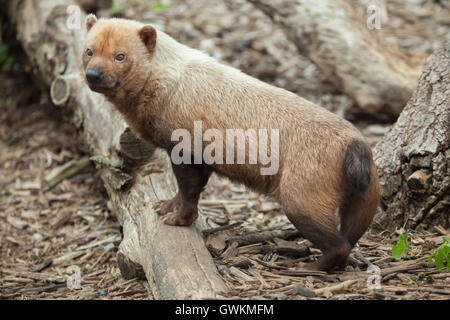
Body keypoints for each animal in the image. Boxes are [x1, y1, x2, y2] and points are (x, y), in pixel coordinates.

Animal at [83, 14, 380, 270]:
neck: (168, 83)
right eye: (89, 50)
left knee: (340, 245)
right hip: (363, 202)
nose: (93, 75)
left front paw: (178, 219)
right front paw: (165, 205)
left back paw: (309, 267)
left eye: (120, 56)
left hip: (300, 201)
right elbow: (188, 189)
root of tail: (355, 144)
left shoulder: (185, 149)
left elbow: (189, 190)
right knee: (351, 238)